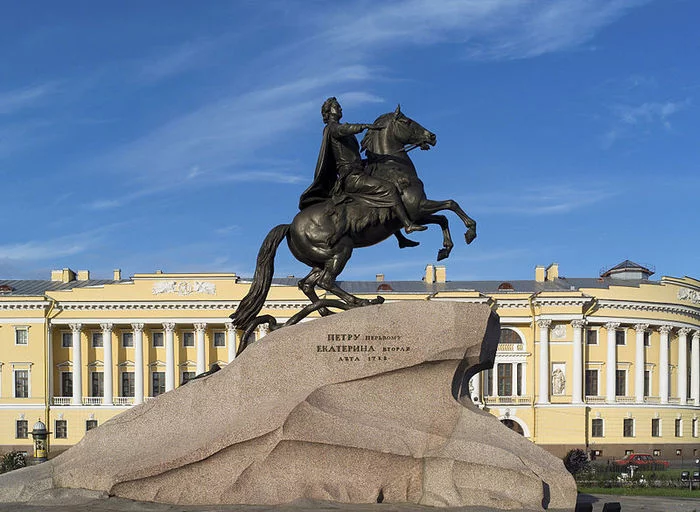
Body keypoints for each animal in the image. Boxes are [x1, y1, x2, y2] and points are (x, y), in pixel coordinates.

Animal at [232, 106, 478, 342]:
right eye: (407, 121)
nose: (432, 136)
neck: (394, 169)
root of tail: (290, 226)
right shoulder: (417, 208)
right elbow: (451, 205)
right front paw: (470, 232)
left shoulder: (419, 212)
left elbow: (443, 218)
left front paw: (445, 249)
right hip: (341, 250)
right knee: (326, 282)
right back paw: (360, 302)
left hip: (320, 259)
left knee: (307, 284)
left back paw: (329, 312)